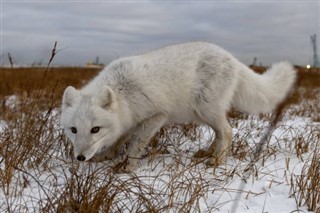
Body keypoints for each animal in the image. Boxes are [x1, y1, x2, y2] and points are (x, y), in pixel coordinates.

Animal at [59, 41, 296, 171]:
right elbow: (118, 141)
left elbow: (136, 144)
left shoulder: (156, 116)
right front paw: (106, 156)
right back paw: (207, 153)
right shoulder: (127, 121)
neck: (123, 93)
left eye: (95, 129)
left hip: (207, 110)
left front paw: (127, 167)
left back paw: (217, 160)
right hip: (202, 114)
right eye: (74, 130)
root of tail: (231, 57)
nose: (80, 158)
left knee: (228, 132)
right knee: (220, 133)